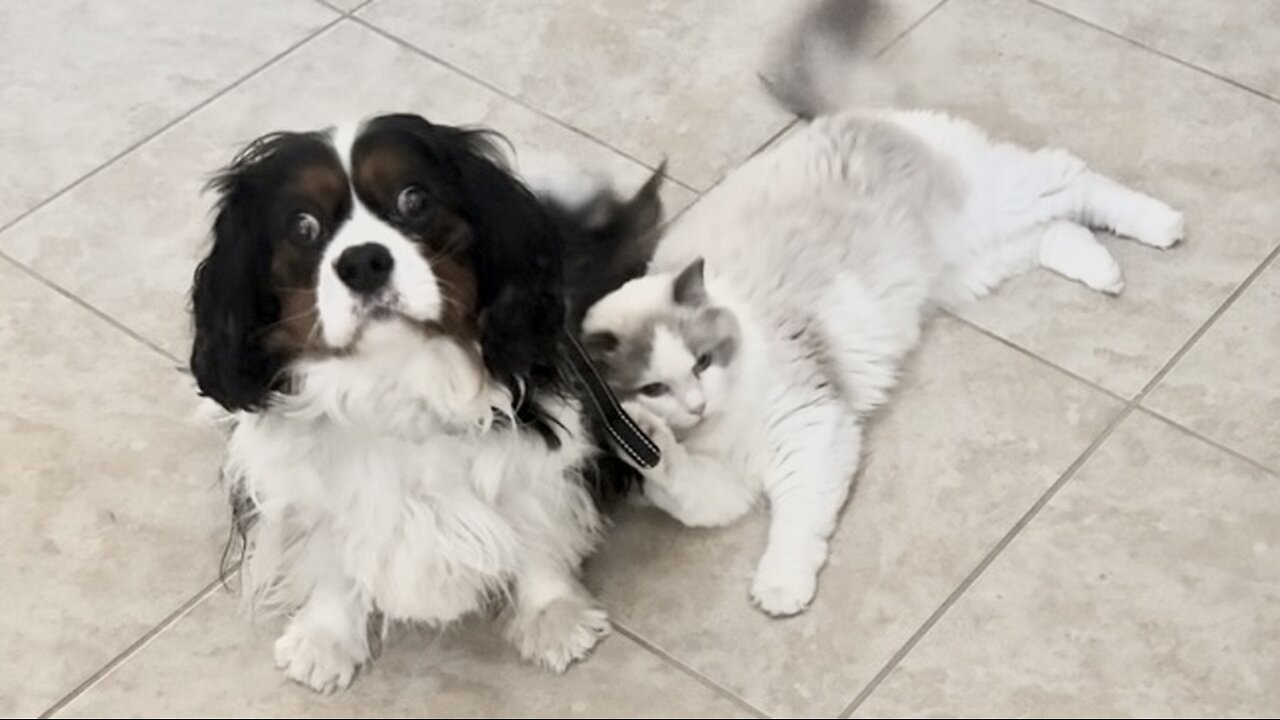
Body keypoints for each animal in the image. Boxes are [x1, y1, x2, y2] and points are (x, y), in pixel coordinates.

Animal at [573, 1, 1187, 617]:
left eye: (703, 362)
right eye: (653, 388)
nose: (696, 405)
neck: (723, 426)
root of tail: (853, 114)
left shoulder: (811, 431)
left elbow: (795, 526)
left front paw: (781, 588)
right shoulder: (725, 484)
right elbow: (680, 483)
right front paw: (651, 437)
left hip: (997, 204)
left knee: (1074, 179)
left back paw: (1161, 225)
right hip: (972, 262)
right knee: (1057, 231)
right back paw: (1103, 271)